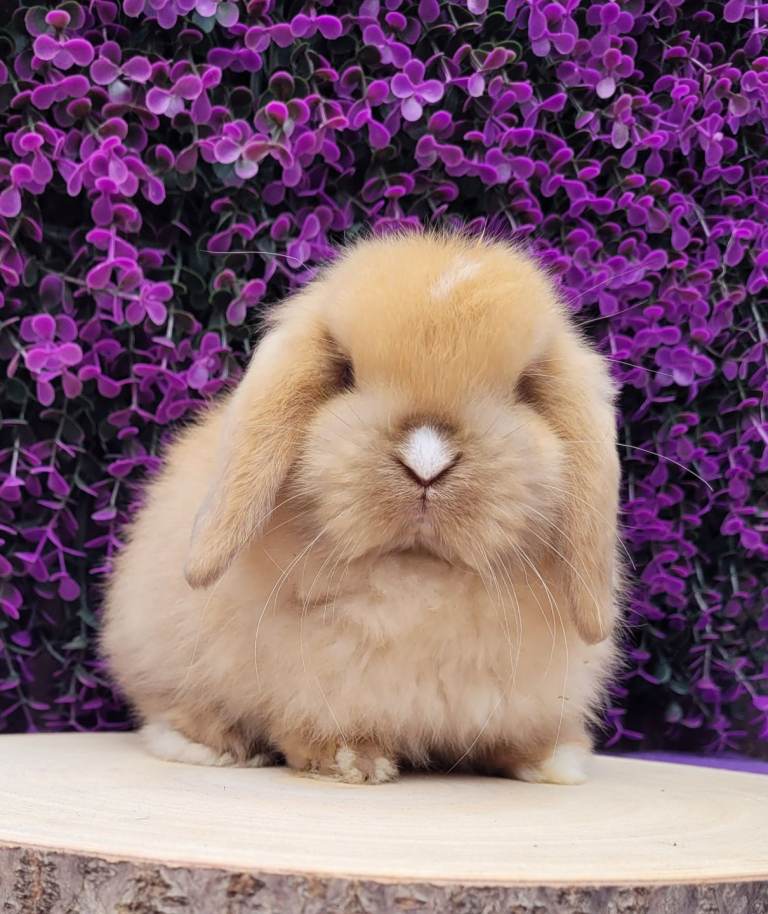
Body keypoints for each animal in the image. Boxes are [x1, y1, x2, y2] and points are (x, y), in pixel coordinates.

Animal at [102, 230, 622, 786]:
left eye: (526, 387)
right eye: (344, 372)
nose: (426, 462)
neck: (416, 581)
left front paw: (554, 760)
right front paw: (351, 760)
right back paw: (211, 747)